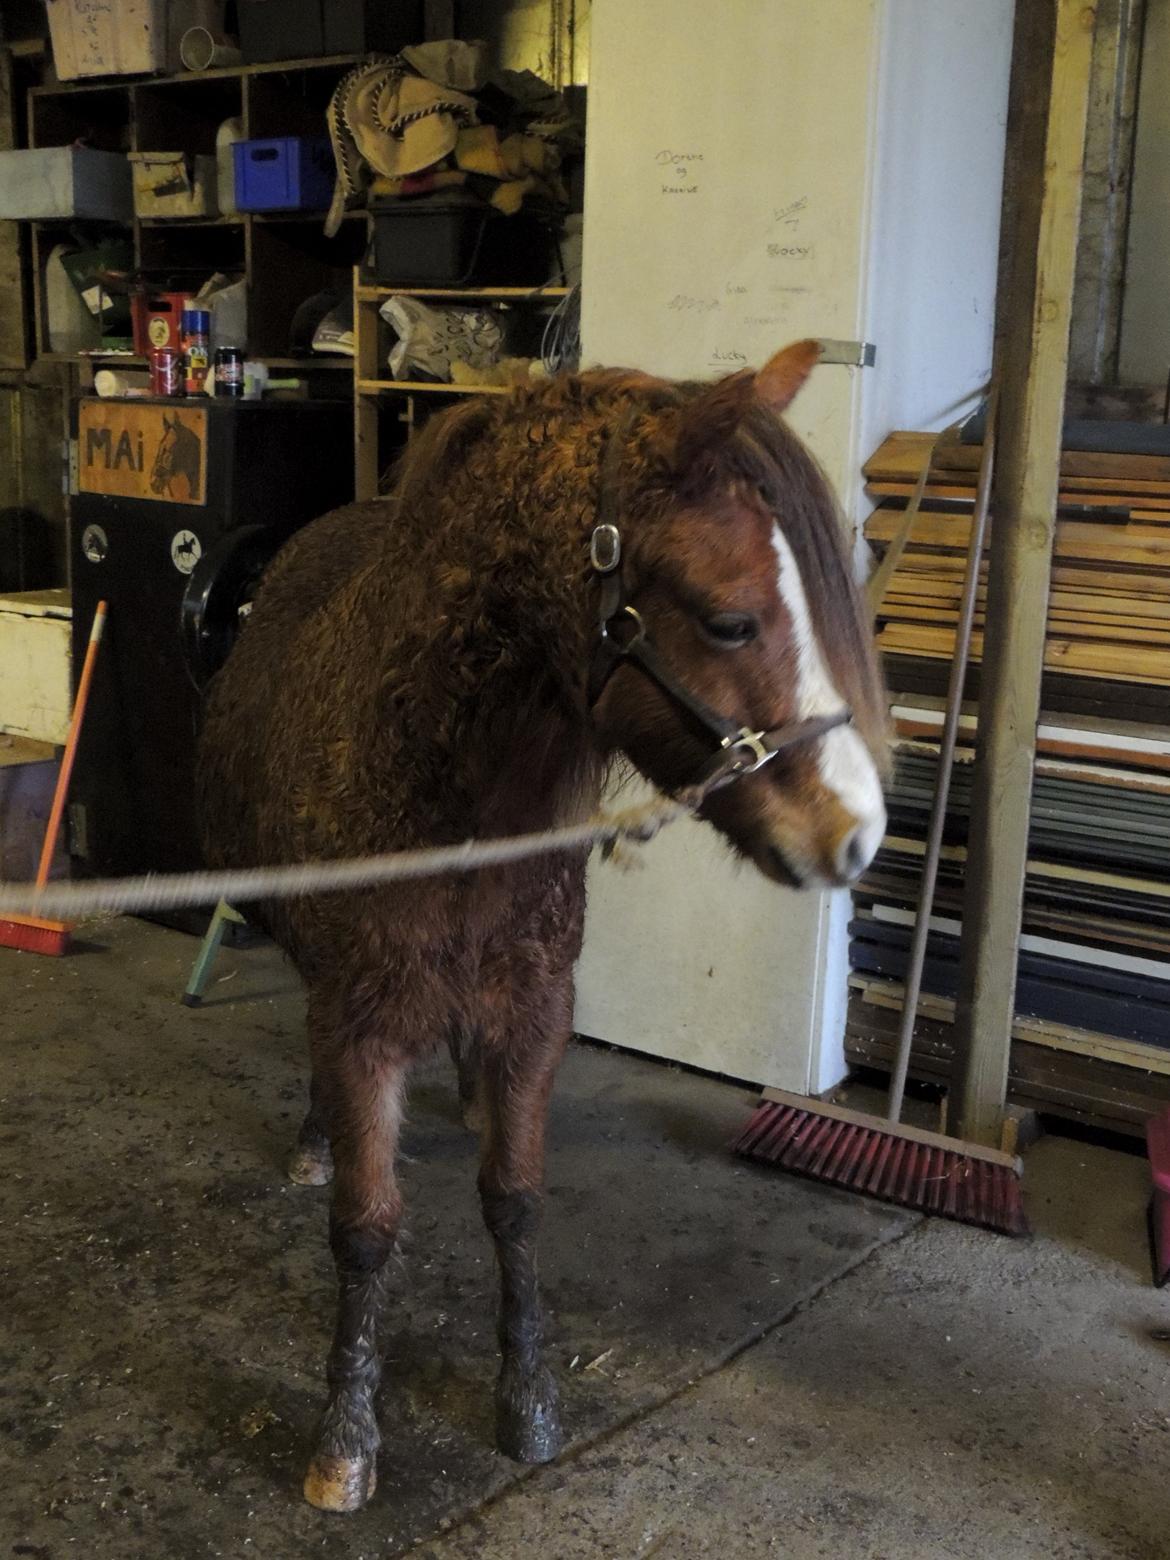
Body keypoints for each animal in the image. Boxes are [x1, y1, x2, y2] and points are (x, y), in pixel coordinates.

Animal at [196, 340, 890, 1514]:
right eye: (731, 619)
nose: (857, 835)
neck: (439, 794)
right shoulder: (358, 1023)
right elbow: (365, 1230)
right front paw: (346, 1434)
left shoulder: (533, 1013)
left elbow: (514, 1202)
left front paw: (526, 1395)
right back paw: (313, 1141)